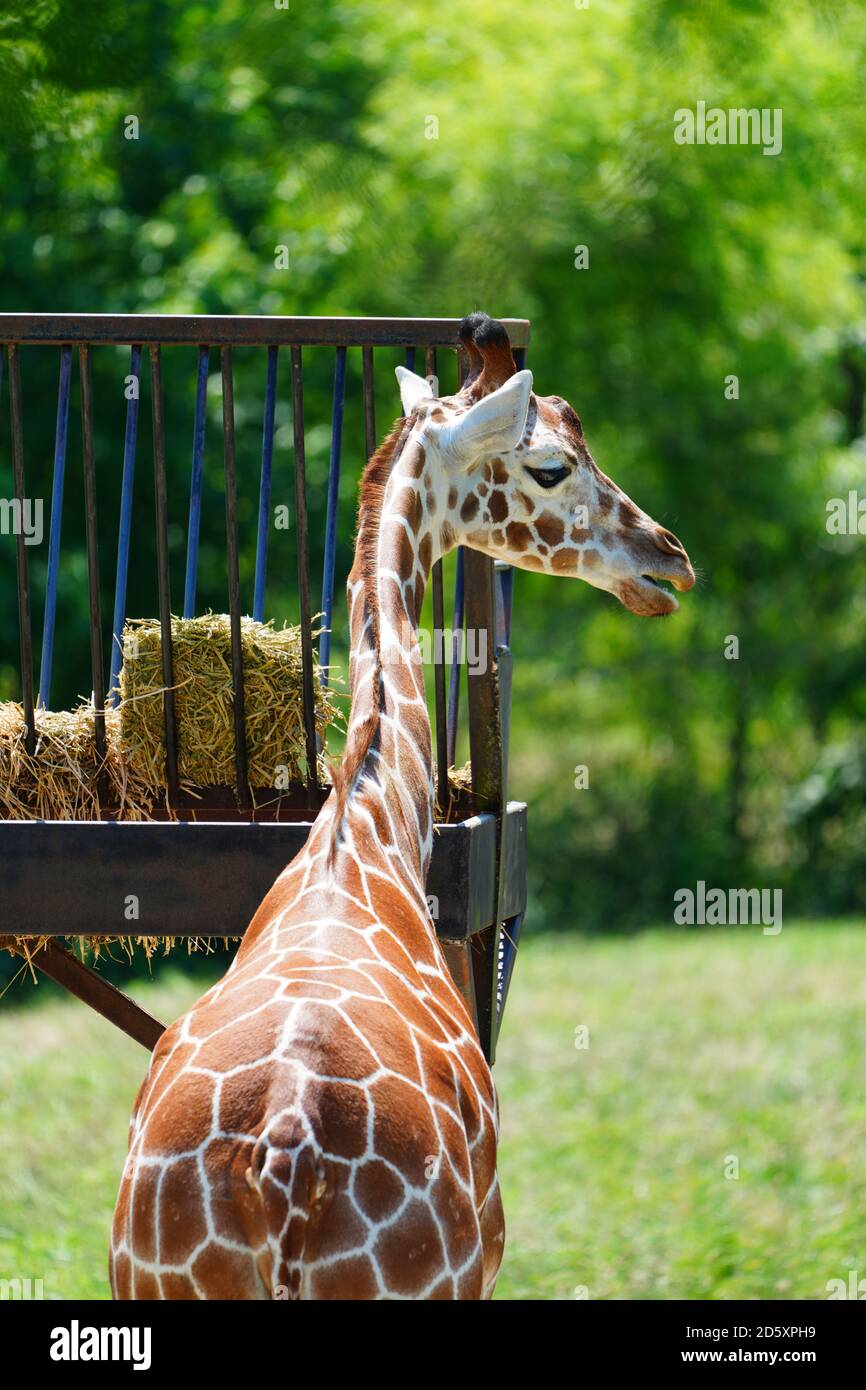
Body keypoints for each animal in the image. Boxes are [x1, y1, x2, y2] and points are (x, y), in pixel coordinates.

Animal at [109, 309, 692, 1295]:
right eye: (551, 465)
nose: (671, 560)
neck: (366, 833)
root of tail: (281, 1165)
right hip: (436, 1272)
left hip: (144, 1274)